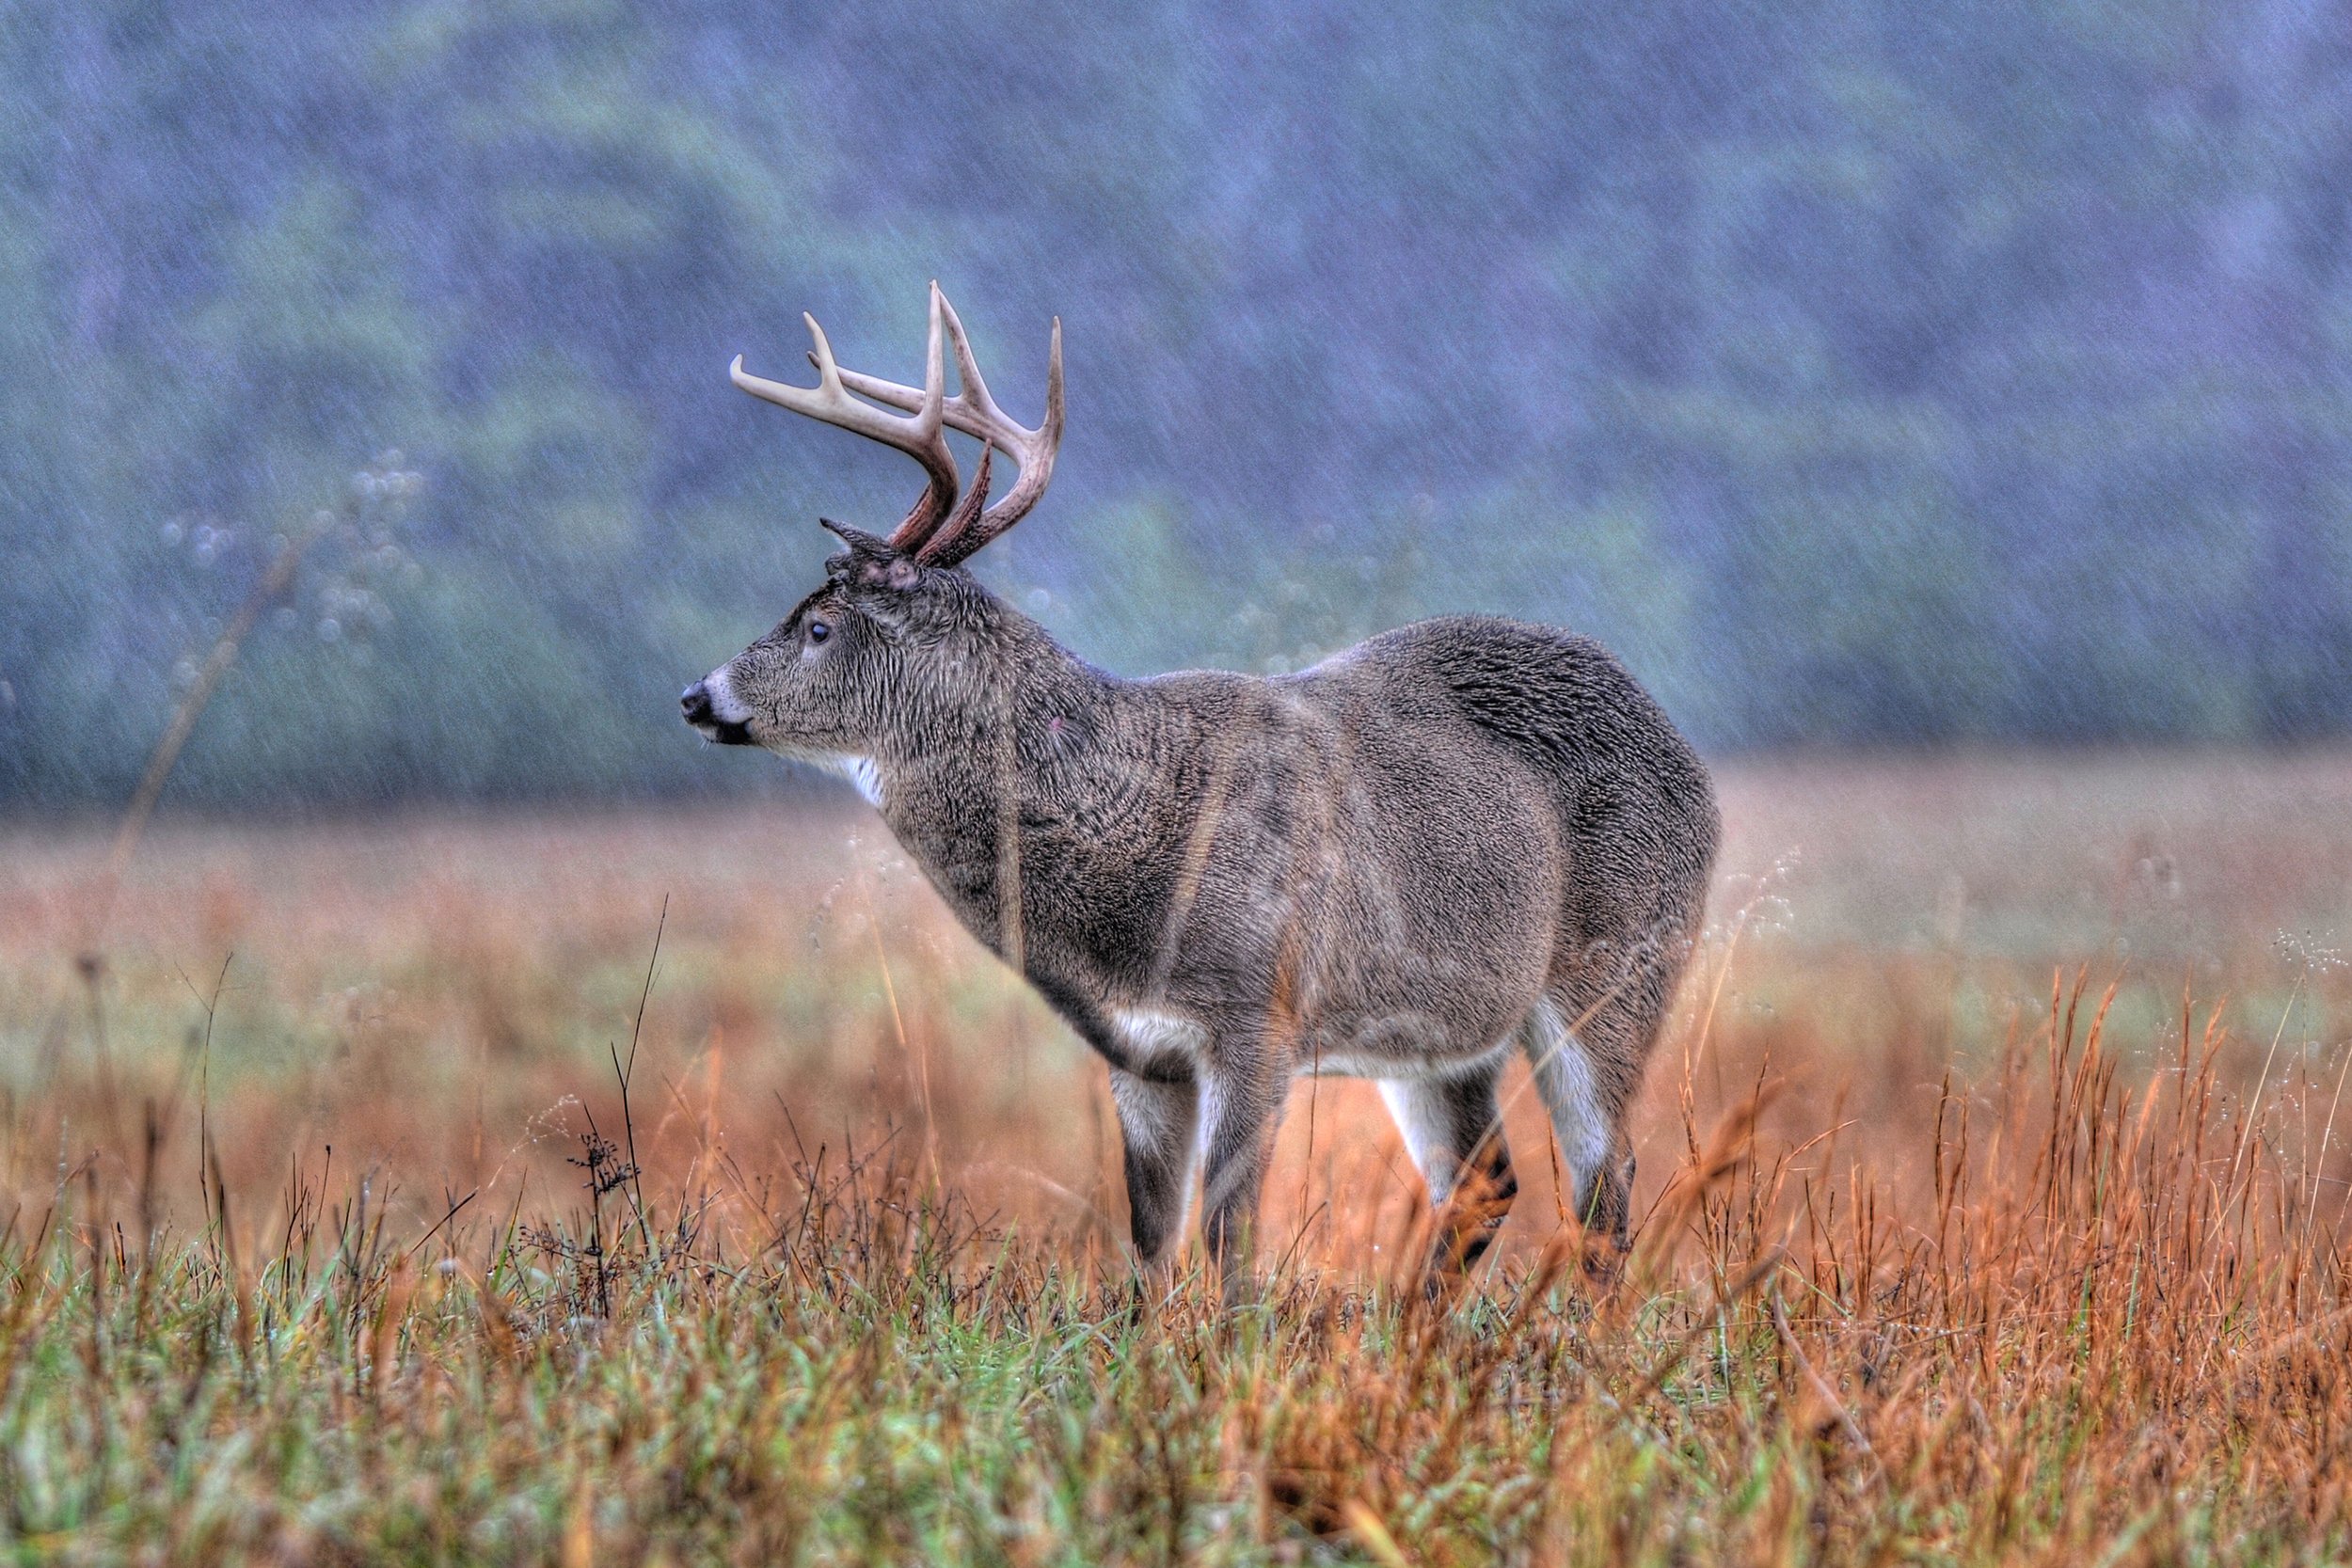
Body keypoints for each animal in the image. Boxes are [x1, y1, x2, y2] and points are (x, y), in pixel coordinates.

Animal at [682, 284, 1719, 1292]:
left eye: (819, 625)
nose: (698, 694)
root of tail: (1689, 758)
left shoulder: (1258, 1012)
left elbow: (1229, 1240)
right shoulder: (1137, 1053)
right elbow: (1150, 1246)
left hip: (1620, 972)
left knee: (1604, 1189)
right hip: (1446, 1031)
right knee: (1483, 1184)